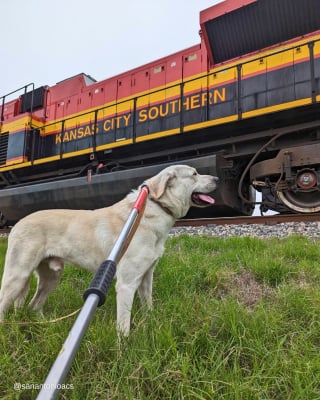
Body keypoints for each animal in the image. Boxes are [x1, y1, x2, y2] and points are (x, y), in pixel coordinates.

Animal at [0, 164, 219, 336]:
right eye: (194, 174)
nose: (217, 178)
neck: (155, 207)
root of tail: (17, 223)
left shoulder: (146, 276)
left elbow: (148, 305)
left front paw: (150, 323)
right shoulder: (126, 284)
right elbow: (123, 325)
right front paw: (124, 351)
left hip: (51, 277)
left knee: (33, 305)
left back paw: (44, 325)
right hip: (17, 276)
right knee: (5, 305)